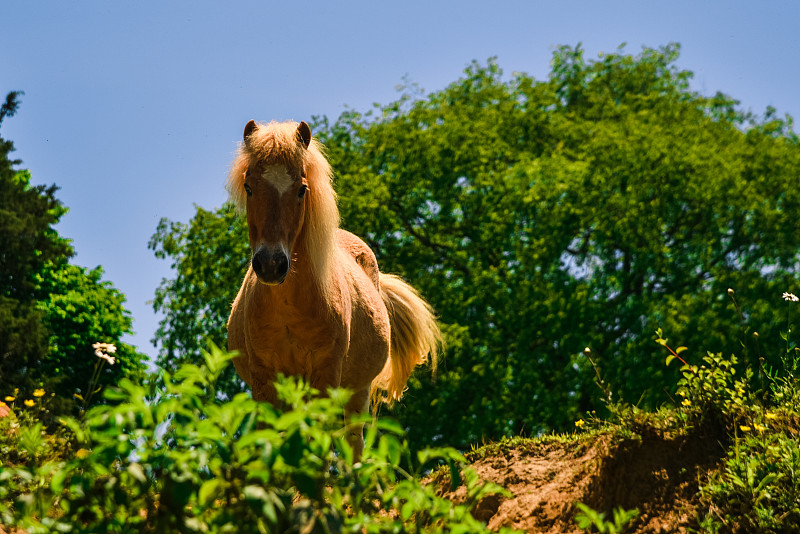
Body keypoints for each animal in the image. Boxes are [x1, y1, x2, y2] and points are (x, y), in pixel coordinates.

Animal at [227, 119, 444, 454]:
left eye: (302, 190)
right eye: (249, 187)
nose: (271, 264)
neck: (287, 308)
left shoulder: (325, 375)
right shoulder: (266, 382)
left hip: (356, 391)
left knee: (353, 441)